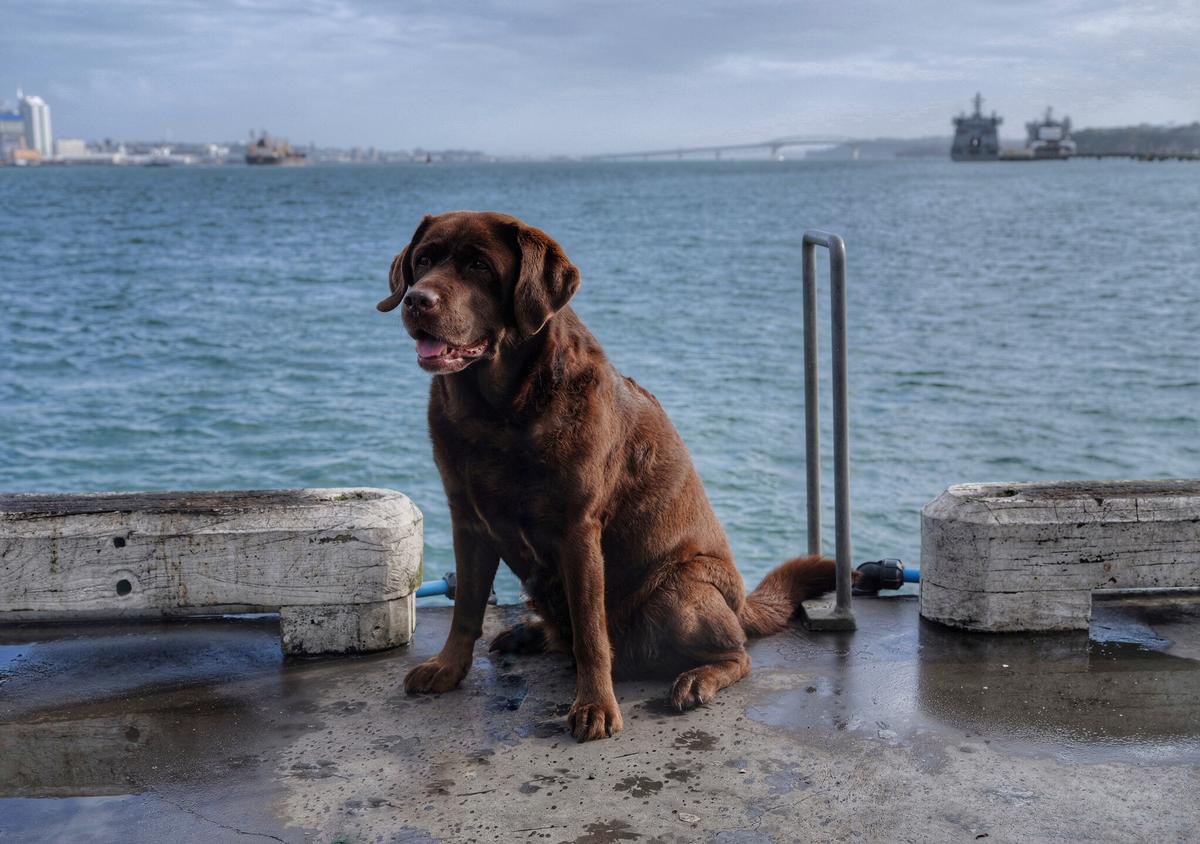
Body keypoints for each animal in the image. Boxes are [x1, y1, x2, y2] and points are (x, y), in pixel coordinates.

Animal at [379, 212, 840, 744]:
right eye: (424, 261)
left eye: (479, 266)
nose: (417, 300)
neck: (497, 413)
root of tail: (741, 604)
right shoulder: (467, 520)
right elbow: (466, 609)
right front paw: (449, 668)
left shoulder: (578, 530)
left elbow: (590, 631)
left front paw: (595, 705)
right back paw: (530, 632)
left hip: (679, 594)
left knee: (737, 653)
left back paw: (697, 679)